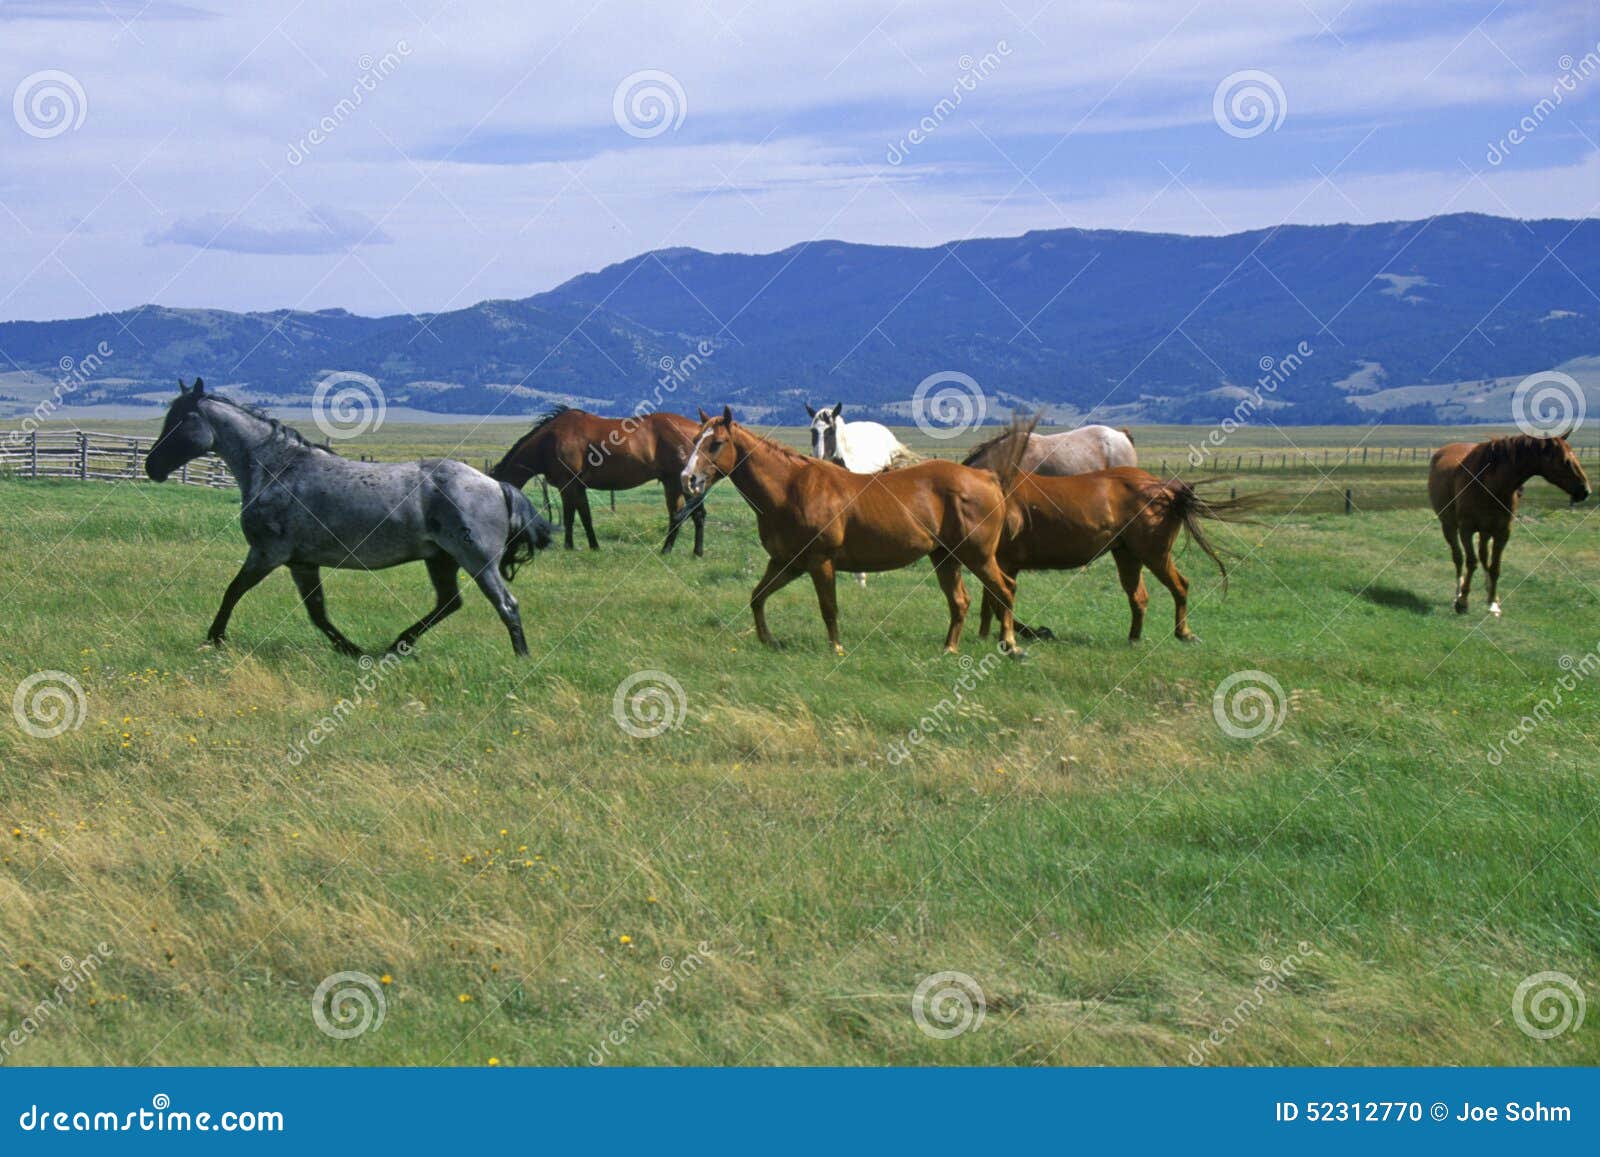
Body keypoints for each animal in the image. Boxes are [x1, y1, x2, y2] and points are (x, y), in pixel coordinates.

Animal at [144, 379, 555, 656]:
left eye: (181, 420)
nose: (151, 467)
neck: (278, 468)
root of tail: (495, 484)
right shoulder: (300, 562)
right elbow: (317, 612)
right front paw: (350, 649)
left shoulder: (267, 554)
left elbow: (233, 591)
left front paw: (213, 639)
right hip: (442, 559)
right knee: (449, 603)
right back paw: (397, 645)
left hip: (477, 559)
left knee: (506, 604)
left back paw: (520, 659)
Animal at [490, 406, 707, 556]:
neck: (549, 441)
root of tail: (698, 429)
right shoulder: (577, 488)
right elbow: (584, 516)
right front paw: (590, 546)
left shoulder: (568, 486)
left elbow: (572, 517)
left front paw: (571, 546)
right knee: (690, 515)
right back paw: (695, 552)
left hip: (677, 484)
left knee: (684, 515)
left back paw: (669, 550)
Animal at [679, 406, 1024, 655]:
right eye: (695, 440)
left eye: (716, 443)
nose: (689, 479)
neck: (790, 487)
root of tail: (987, 477)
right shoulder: (786, 563)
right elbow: (757, 596)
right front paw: (769, 640)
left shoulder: (820, 561)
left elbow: (828, 607)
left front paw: (836, 648)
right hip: (945, 558)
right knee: (961, 601)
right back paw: (949, 649)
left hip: (977, 556)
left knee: (1004, 589)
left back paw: (1010, 644)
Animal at [1428, 430, 1589, 616]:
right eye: (1565, 461)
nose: (1585, 491)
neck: (1488, 484)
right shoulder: (1466, 529)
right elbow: (1471, 562)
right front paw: (1462, 601)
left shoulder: (1502, 532)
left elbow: (1495, 567)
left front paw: (1493, 602)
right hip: (1449, 526)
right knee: (1458, 558)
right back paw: (1458, 592)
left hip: (1485, 531)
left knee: (1484, 557)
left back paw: (1488, 591)